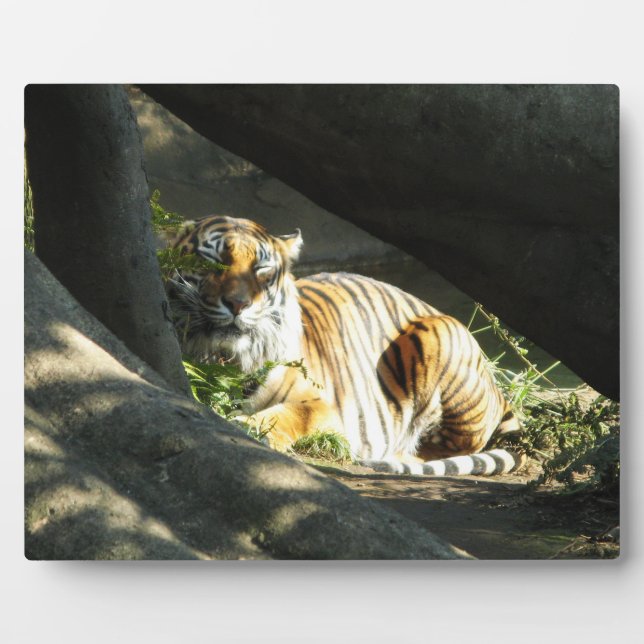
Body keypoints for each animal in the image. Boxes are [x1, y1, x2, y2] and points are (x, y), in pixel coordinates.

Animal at [165, 215, 524, 476]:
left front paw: (249, 427)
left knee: (454, 446)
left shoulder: (324, 405)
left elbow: (290, 415)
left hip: (439, 336)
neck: (226, 359)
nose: (238, 304)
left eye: (261, 268)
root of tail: (495, 386)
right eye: (212, 261)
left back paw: (395, 455)